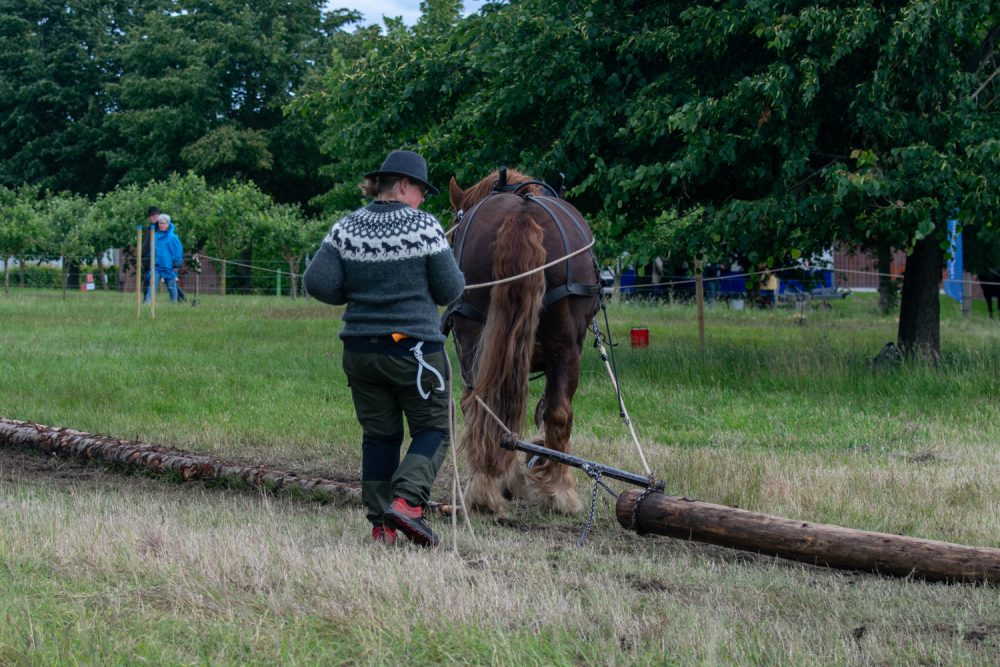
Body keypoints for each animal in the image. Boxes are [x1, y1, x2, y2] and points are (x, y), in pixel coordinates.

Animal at [446, 168, 602, 516]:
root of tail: (522, 213)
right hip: (564, 345)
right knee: (558, 411)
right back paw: (559, 492)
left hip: (474, 335)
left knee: (480, 403)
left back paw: (484, 491)